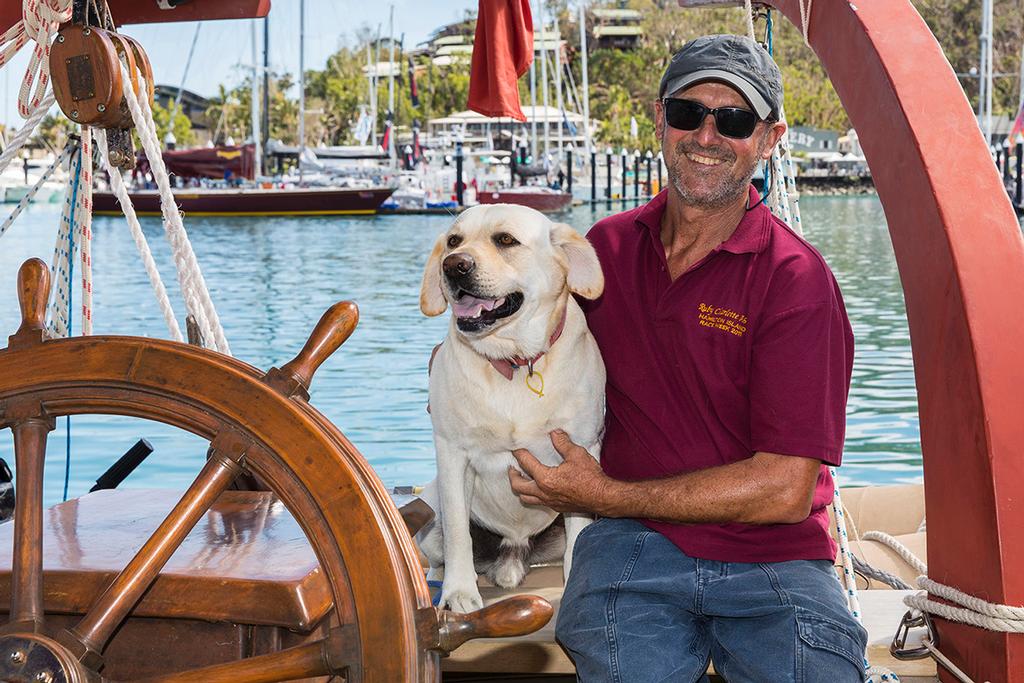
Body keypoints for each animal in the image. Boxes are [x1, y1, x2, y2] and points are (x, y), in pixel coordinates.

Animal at [417, 202, 606, 614]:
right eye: (453, 241)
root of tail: (514, 551)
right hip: (430, 513)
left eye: (505, 240)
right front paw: (459, 593)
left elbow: (579, 535)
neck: (515, 362)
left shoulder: (580, 454)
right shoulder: (452, 454)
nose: (453, 265)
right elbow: (458, 533)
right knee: (440, 552)